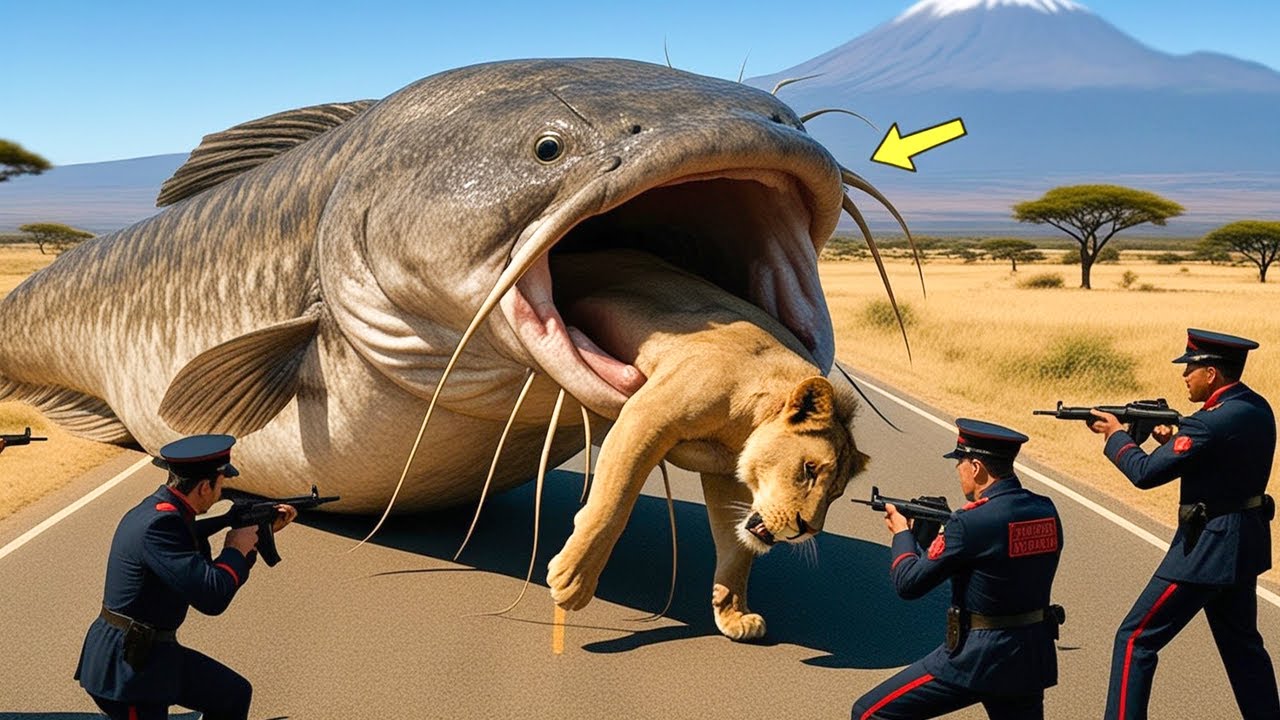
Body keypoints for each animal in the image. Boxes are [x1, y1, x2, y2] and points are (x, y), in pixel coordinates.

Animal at [545, 249, 869, 640]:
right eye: (809, 469)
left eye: (836, 494)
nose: (808, 529)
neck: (748, 422)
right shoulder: (645, 414)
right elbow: (614, 502)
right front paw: (572, 581)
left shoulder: (727, 476)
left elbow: (736, 549)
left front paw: (734, 614)